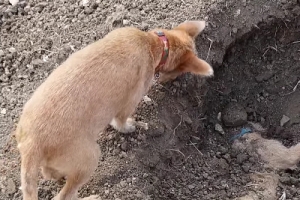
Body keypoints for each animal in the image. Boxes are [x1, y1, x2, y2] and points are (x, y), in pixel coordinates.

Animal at [14, 21, 213, 199]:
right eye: (180, 71)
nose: (169, 81)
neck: (153, 43)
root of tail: (32, 143)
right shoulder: (131, 100)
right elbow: (121, 121)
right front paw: (130, 127)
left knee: (49, 173)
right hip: (90, 158)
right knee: (64, 196)